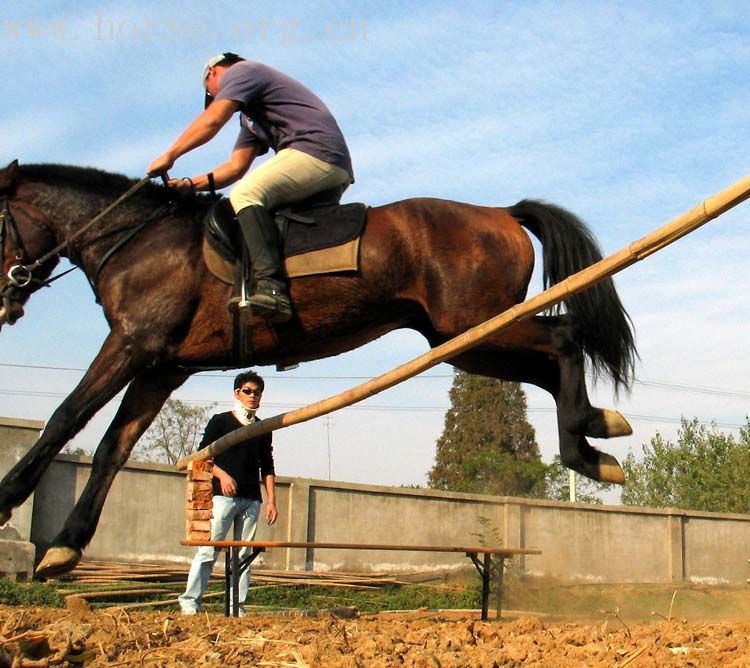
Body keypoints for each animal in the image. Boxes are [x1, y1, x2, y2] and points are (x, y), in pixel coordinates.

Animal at [0, 160, 636, 576]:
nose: (6, 304)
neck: (136, 238)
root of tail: (501, 214)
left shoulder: (132, 343)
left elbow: (64, 418)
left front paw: (7, 499)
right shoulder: (160, 365)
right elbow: (112, 446)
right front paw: (65, 547)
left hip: (478, 324)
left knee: (564, 338)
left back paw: (590, 440)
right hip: (464, 339)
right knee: (551, 364)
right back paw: (592, 440)